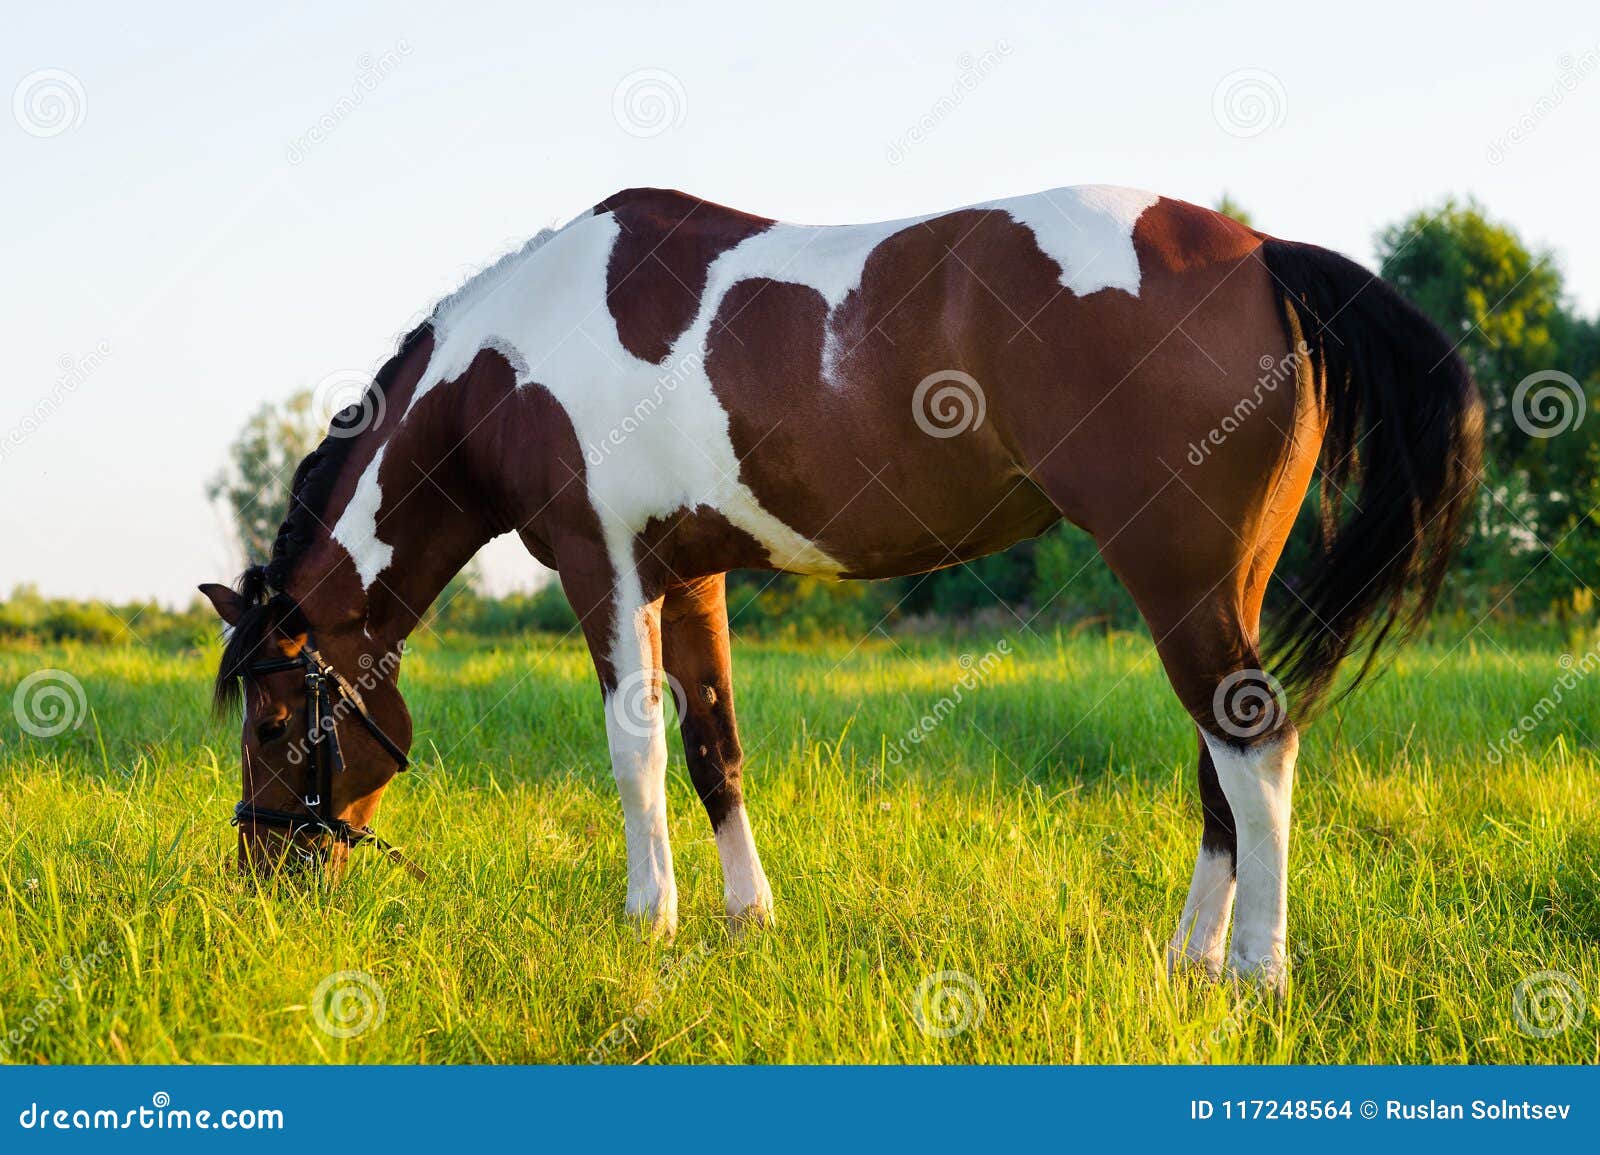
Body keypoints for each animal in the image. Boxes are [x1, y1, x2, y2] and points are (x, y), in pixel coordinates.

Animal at [200, 184, 1481, 990]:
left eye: (272, 724)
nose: (259, 883)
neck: (512, 362)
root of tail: (1257, 252)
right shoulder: (692, 578)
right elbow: (713, 749)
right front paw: (745, 922)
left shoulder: (599, 564)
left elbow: (634, 750)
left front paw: (647, 922)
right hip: (1223, 583)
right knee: (1226, 760)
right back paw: (1190, 961)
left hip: (1175, 574)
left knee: (1254, 749)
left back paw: (1256, 975)